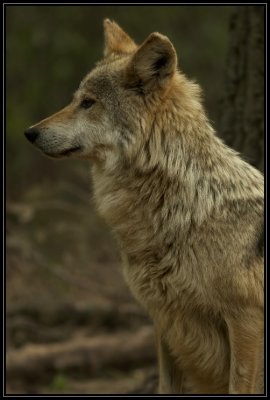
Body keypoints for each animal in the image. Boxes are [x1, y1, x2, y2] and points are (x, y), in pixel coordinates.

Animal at [24, 19, 264, 394]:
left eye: (88, 103)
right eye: (75, 100)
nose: (30, 132)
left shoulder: (246, 319)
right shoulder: (165, 317)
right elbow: (166, 386)